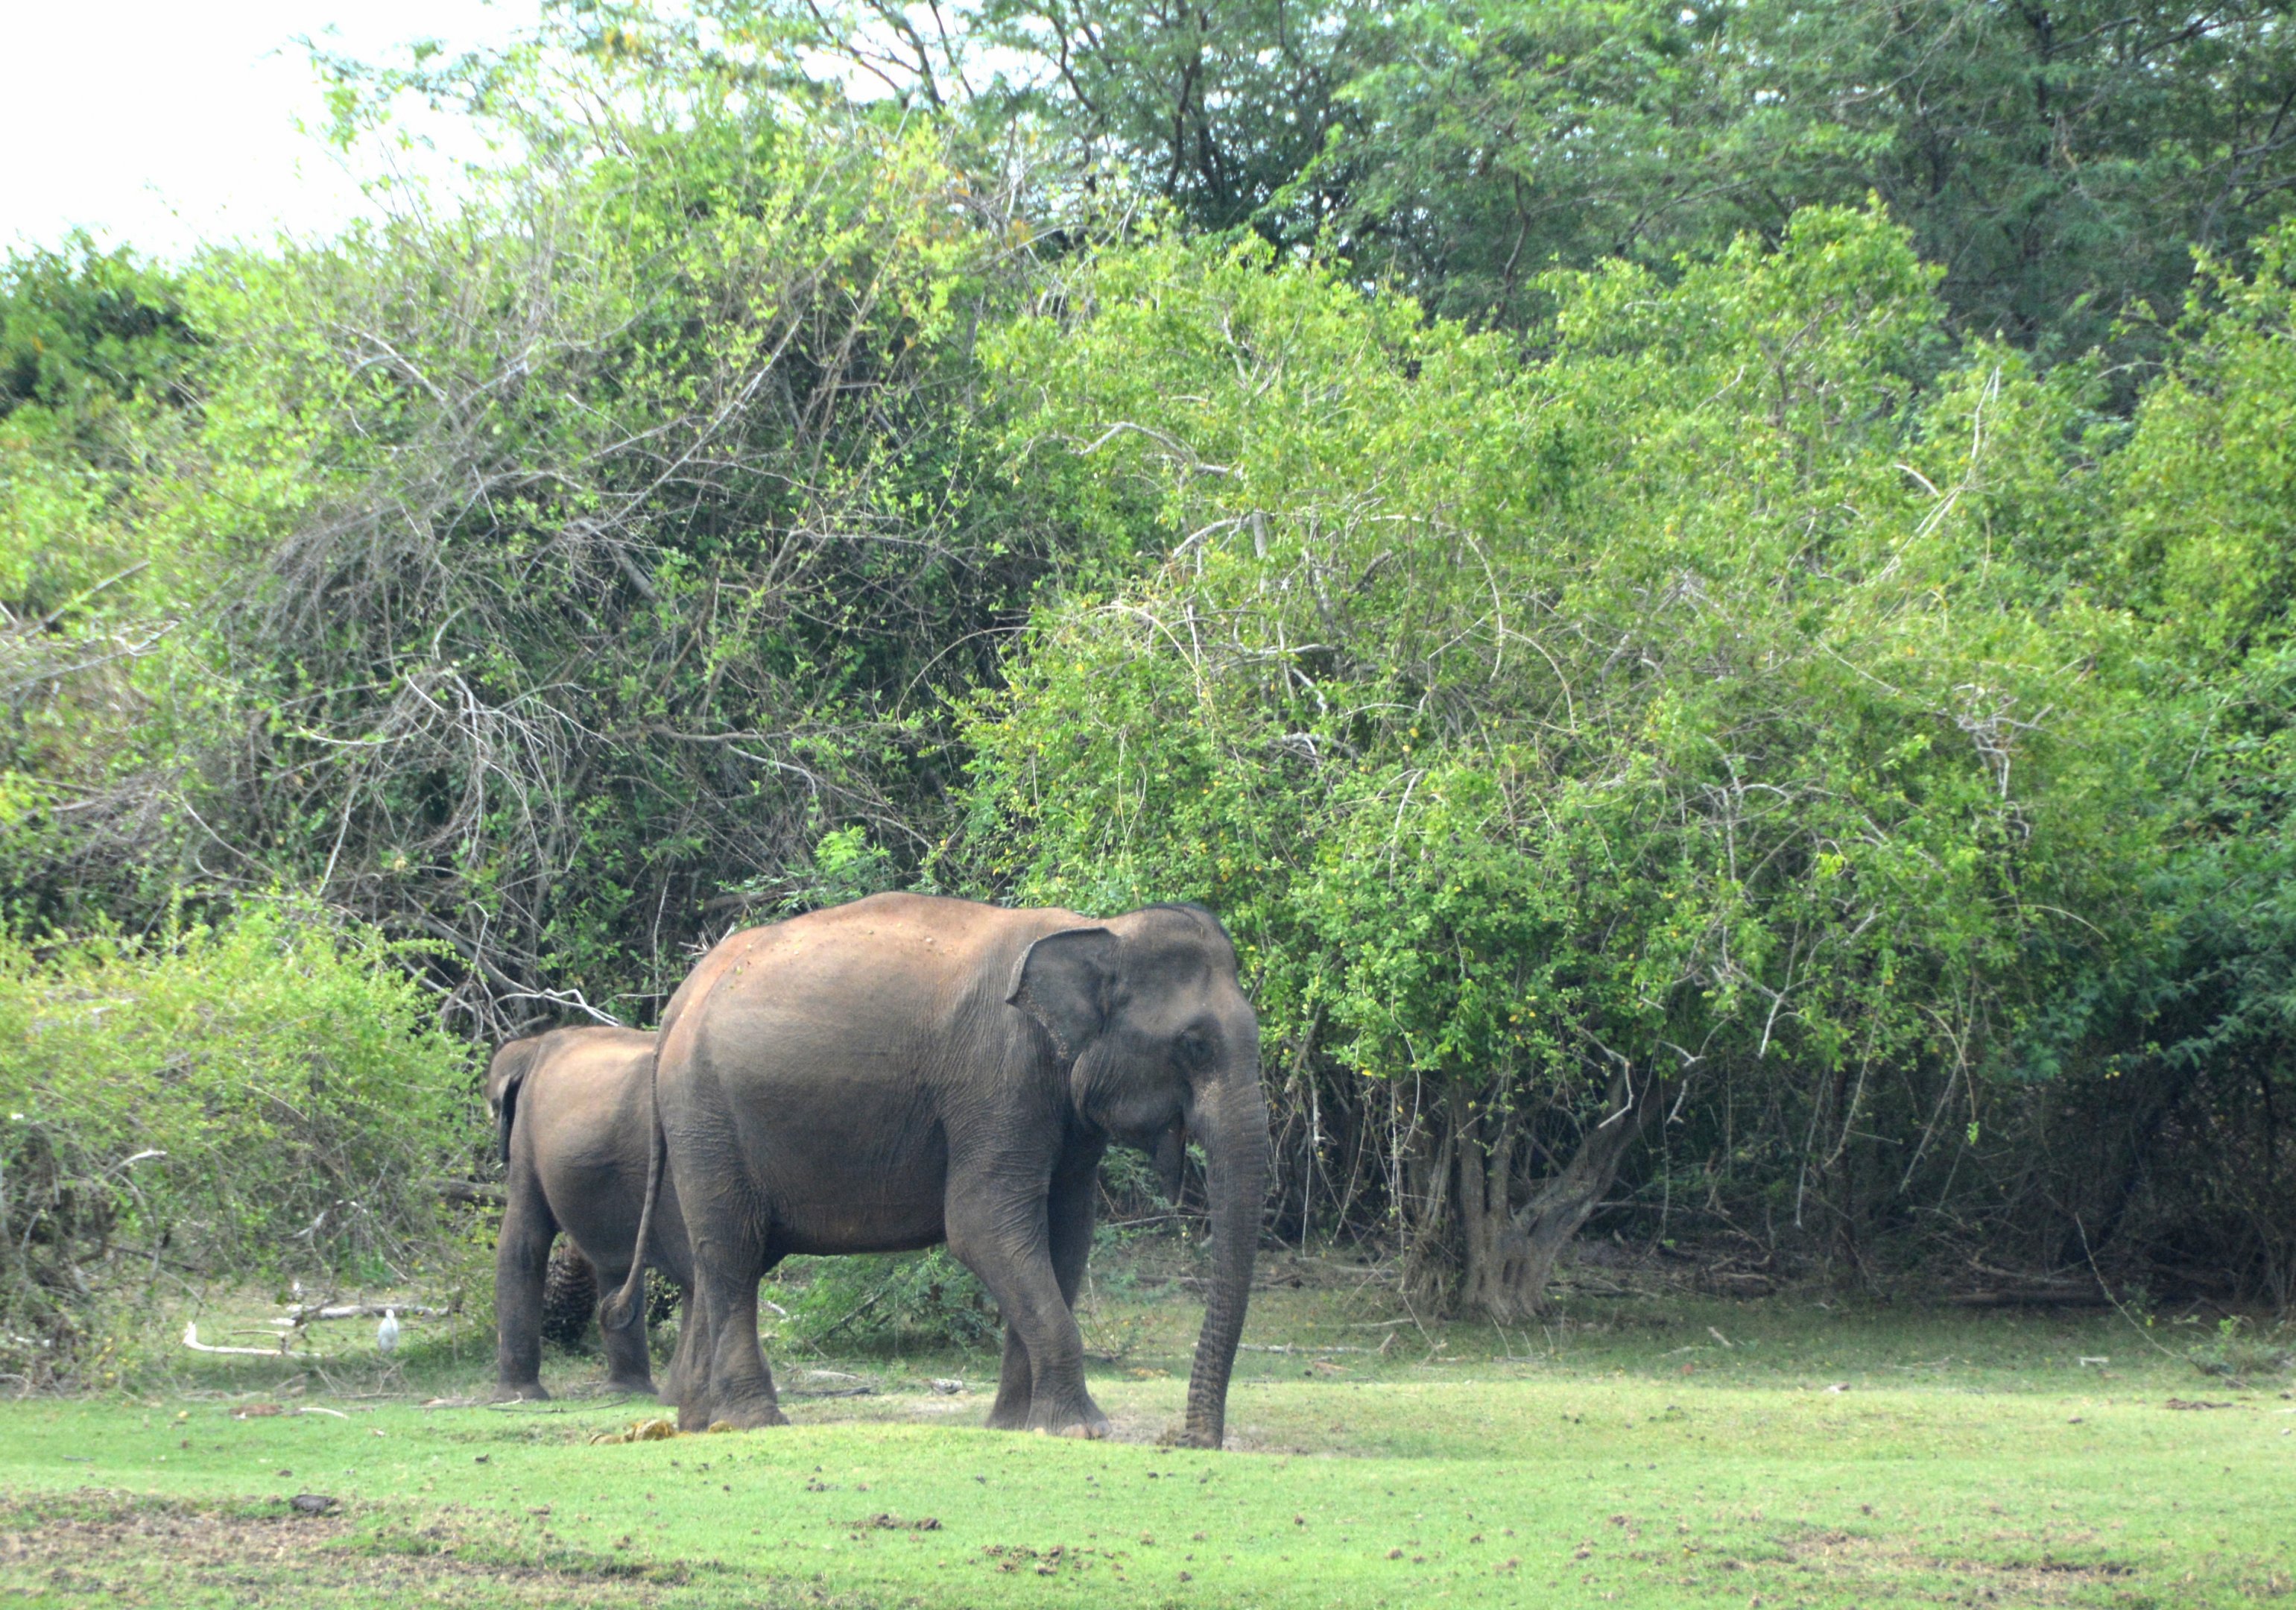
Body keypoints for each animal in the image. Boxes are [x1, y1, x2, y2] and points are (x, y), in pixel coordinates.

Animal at [485, 1026, 692, 1401]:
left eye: (495, 1107)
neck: (532, 1046)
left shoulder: (526, 1139)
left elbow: (522, 1243)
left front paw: (516, 1398)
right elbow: (615, 1262)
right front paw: (626, 1392)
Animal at [606, 893, 1267, 1448]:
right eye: (1194, 1045)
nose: (1189, 1440)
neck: (1096, 929)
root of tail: (677, 1005)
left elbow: (1065, 1235)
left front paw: (1017, 1426)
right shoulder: (999, 1077)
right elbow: (982, 1226)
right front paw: (1082, 1430)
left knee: (720, 1260)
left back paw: (698, 1423)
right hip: (705, 1115)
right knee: (733, 1254)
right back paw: (754, 1421)